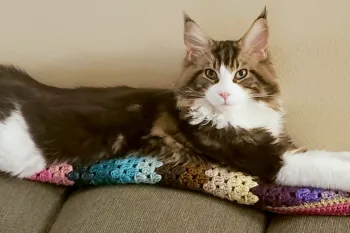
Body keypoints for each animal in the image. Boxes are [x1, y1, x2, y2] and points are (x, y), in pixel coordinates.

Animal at [0, 7, 350, 191]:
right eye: (210, 74)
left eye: (240, 74)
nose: (224, 93)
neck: (239, 114)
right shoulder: (268, 159)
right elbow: (325, 166)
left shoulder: (281, 142)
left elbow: (329, 154)